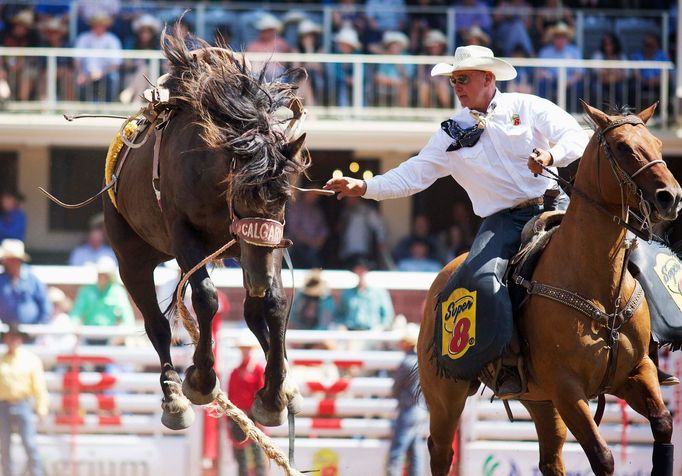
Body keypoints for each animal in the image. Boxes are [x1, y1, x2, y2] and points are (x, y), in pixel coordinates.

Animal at [103, 31, 308, 430]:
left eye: (284, 199)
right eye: (240, 196)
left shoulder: (265, 245)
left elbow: (274, 304)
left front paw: (273, 396)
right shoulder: (183, 233)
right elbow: (206, 297)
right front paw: (201, 380)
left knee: (252, 310)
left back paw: (286, 383)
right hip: (132, 258)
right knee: (157, 324)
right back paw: (173, 399)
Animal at [418, 101, 680, 476]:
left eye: (658, 144)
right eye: (622, 147)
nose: (670, 196)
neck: (595, 283)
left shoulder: (636, 372)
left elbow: (662, 423)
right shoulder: (567, 390)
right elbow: (602, 457)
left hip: (539, 400)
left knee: (550, 460)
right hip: (445, 394)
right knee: (440, 451)